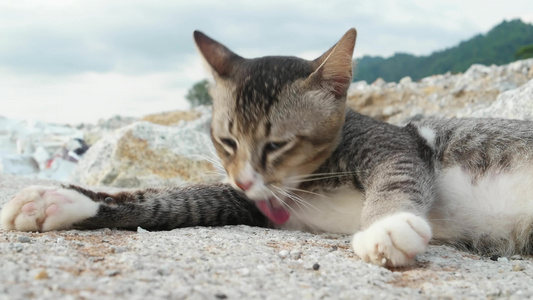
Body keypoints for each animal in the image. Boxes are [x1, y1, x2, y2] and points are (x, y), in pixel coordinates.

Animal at [1, 28, 532, 268]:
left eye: (277, 144)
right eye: (226, 140)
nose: (243, 176)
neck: (302, 180)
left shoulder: (394, 140)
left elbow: (398, 172)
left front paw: (387, 225)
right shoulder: (255, 202)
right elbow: (177, 200)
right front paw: (62, 200)